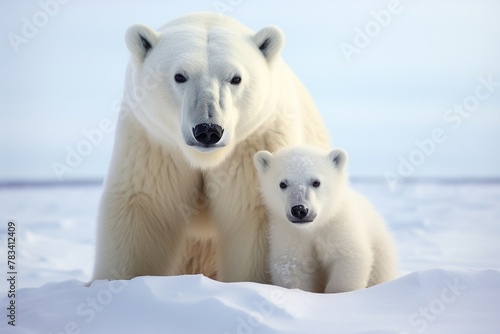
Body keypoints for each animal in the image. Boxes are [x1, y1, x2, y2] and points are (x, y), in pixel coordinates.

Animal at [92, 13, 330, 284]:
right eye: (179, 76)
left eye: (235, 78)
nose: (207, 130)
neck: (205, 159)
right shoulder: (153, 147)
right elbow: (142, 209)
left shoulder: (254, 146)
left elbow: (253, 214)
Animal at [254, 146, 398, 292]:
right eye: (282, 184)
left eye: (316, 182)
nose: (299, 210)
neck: (314, 226)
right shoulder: (289, 233)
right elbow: (293, 266)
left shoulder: (338, 226)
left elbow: (349, 258)